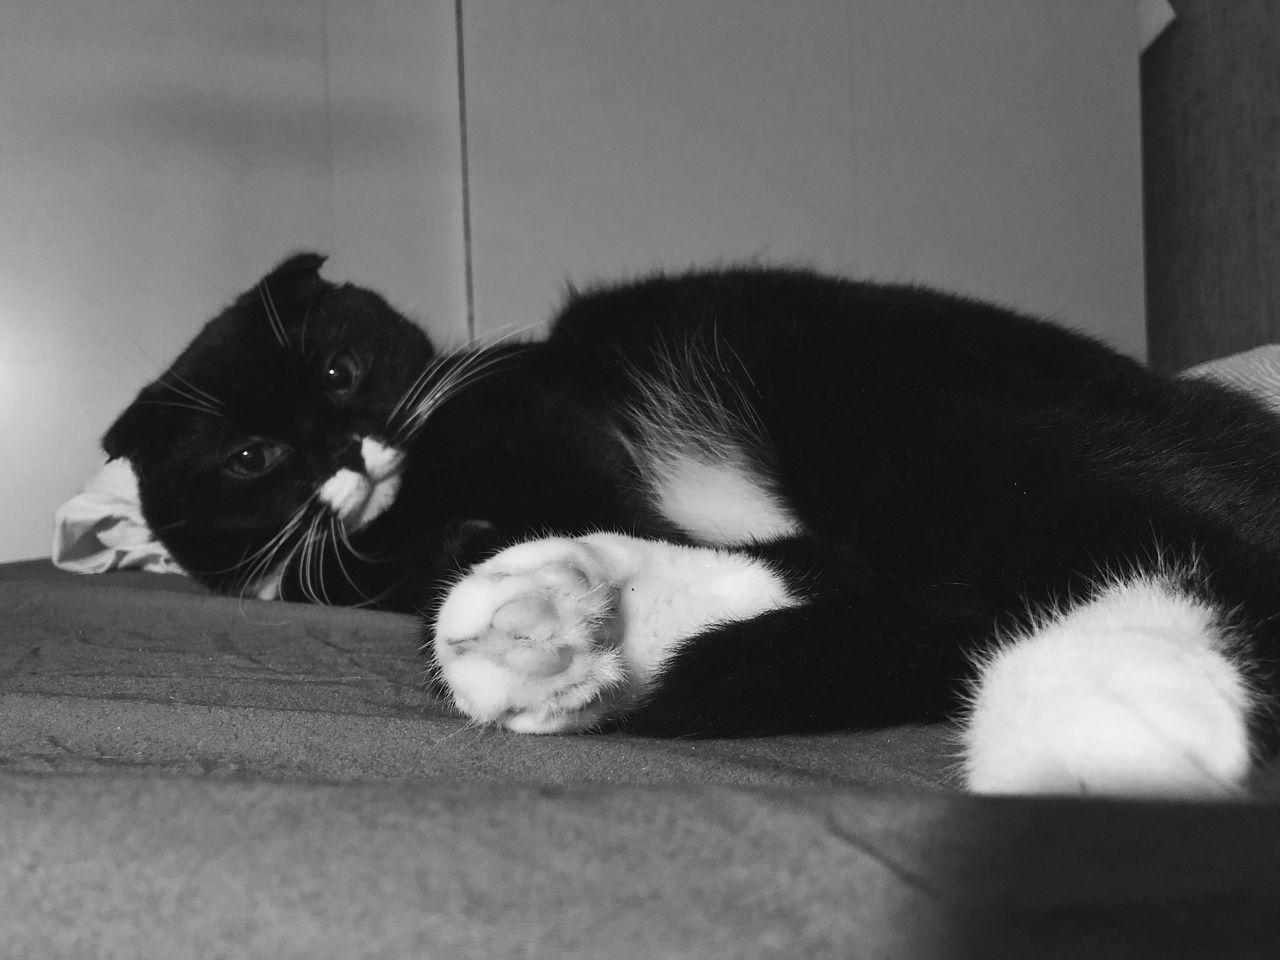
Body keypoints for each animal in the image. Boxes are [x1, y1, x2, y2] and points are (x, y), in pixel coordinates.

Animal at [104, 252, 1280, 798]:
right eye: (250, 458)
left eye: (340, 371)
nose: (345, 452)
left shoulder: (558, 415)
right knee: (895, 581)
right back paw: (565, 621)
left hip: (903, 406)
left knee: (1160, 531)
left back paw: (1094, 721)